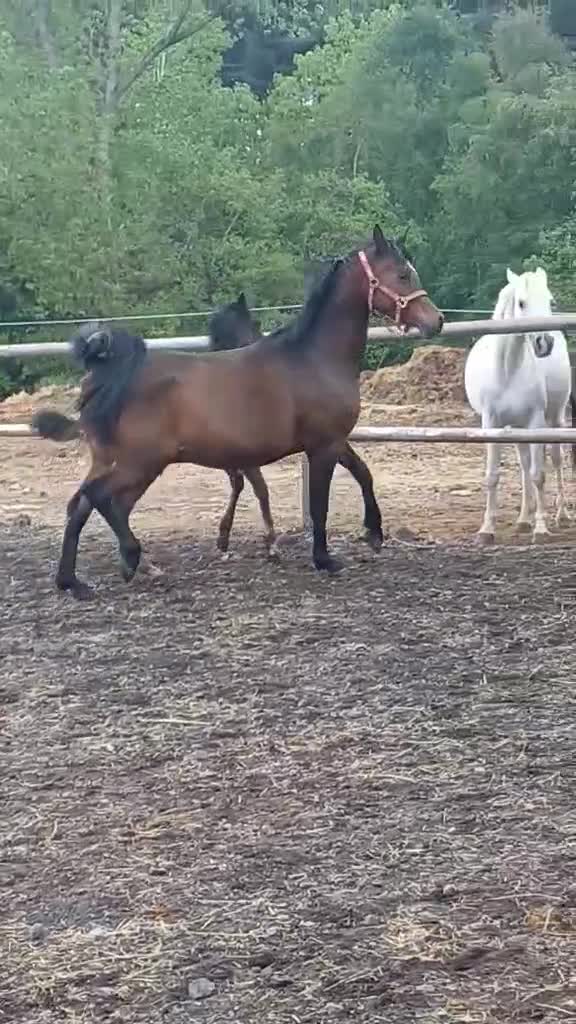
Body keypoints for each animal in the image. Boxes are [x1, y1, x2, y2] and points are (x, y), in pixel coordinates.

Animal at [465, 266, 571, 544]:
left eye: (550, 301)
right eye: (521, 303)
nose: (545, 342)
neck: (508, 370)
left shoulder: (536, 422)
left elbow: (538, 475)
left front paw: (541, 529)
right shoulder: (491, 424)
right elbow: (493, 475)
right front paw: (486, 530)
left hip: (554, 419)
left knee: (555, 460)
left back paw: (561, 515)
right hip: (517, 427)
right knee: (524, 465)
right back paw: (523, 519)